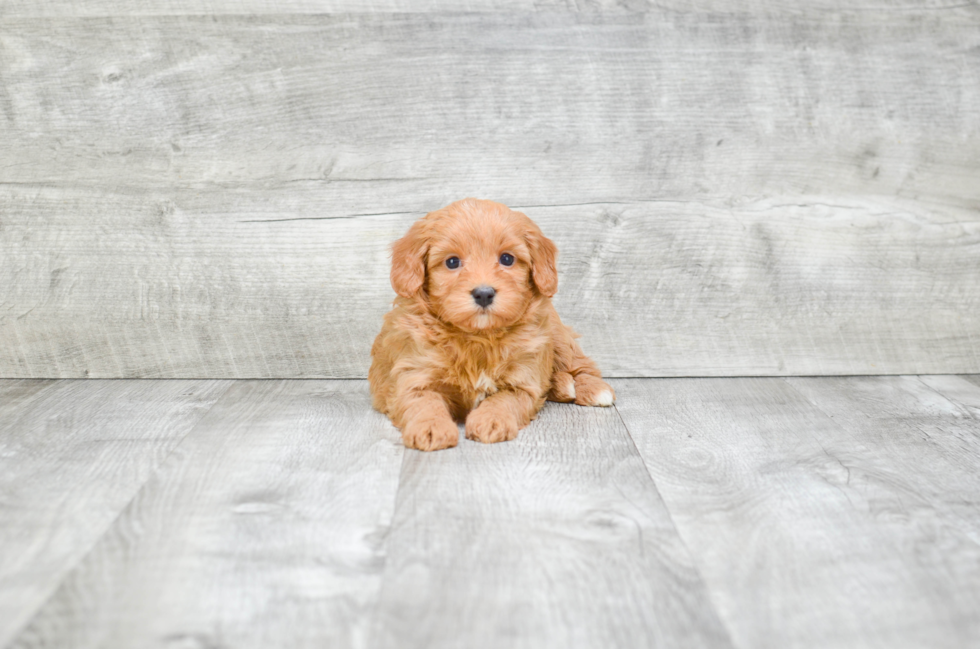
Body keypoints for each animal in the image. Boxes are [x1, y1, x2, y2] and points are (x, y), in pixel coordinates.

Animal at [368, 197, 612, 450]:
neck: (478, 336)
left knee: (581, 365)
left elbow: (503, 400)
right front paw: (431, 427)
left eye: (507, 259)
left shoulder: (523, 381)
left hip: (557, 334)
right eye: (452, 262)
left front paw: (491, 420)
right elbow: (424, 402)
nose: (484, 294)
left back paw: (592, 388)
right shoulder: (413, 375)